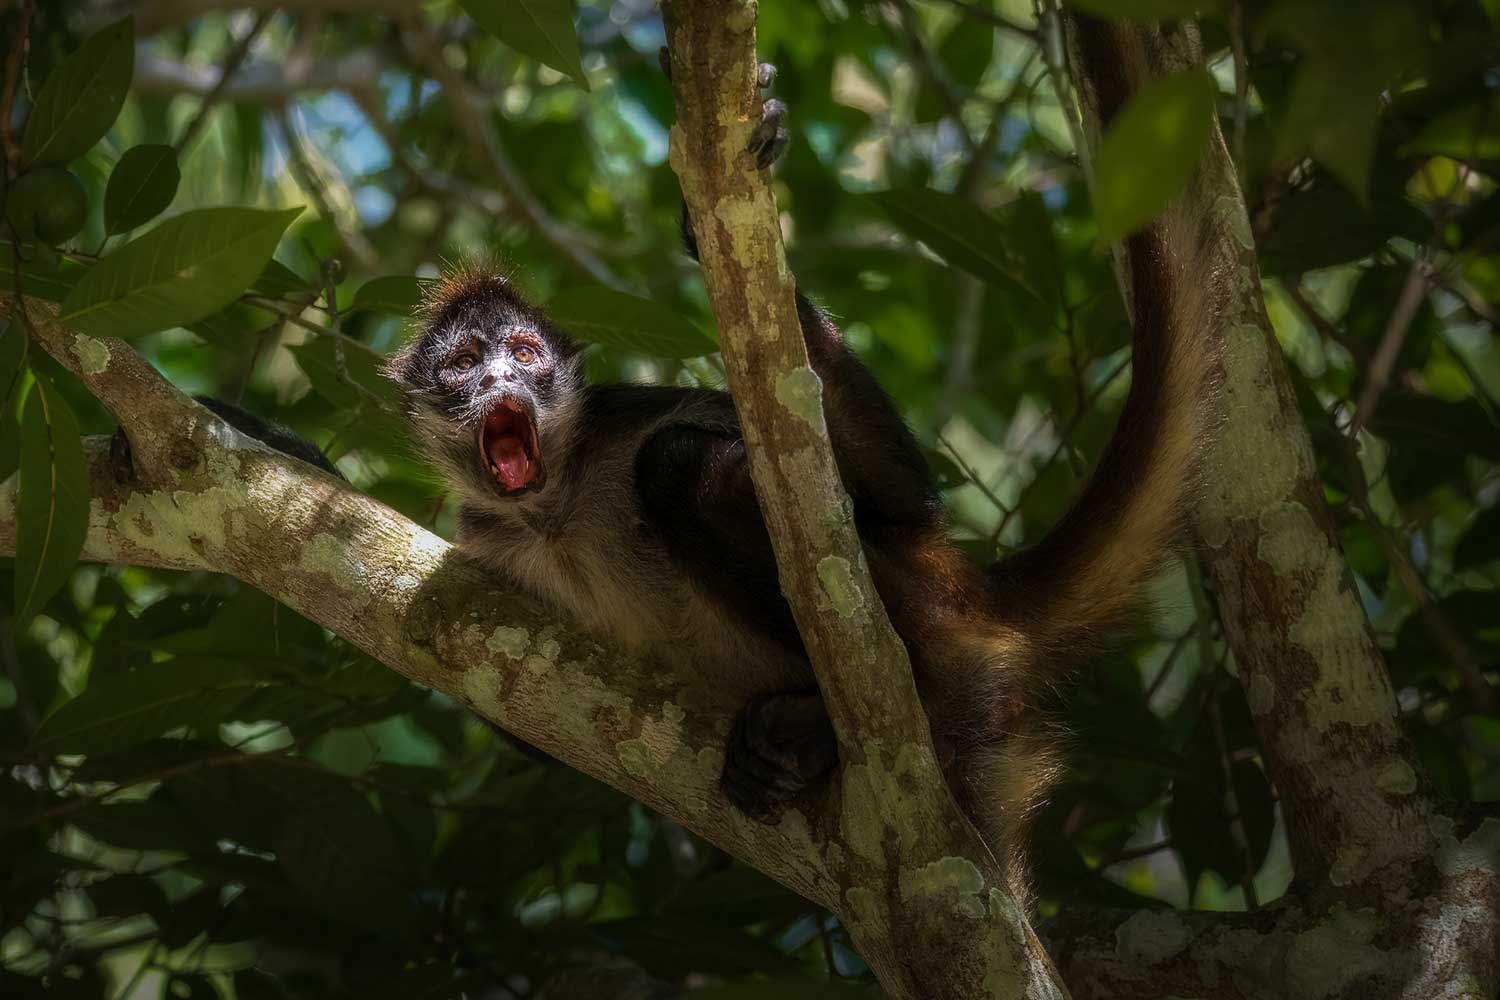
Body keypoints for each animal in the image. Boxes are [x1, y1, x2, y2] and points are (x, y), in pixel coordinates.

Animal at [385, 58, 1224, 907]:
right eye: (464, 364)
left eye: (524, 355)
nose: (498, 379)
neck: (551, 510)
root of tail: (969, 594)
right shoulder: (480, 541)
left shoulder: (619, 420)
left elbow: (903, 499)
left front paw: (702, 221)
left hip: (918, 603)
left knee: (678, 467)